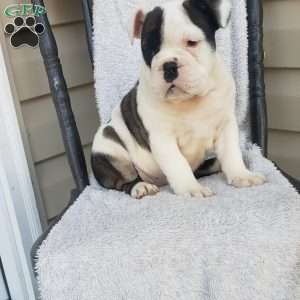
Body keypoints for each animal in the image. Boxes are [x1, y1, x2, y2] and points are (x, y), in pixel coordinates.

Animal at [91, 0, 264, 199]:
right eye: (150, 49)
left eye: (192, 43)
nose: (169, 65)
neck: (191, 99)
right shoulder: (162, 138)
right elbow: (177, 164)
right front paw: (191, 188)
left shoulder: (226, 125)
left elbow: (231, 153)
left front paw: (242, 175)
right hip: (110, 151)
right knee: (122, 181)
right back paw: (140, 186)